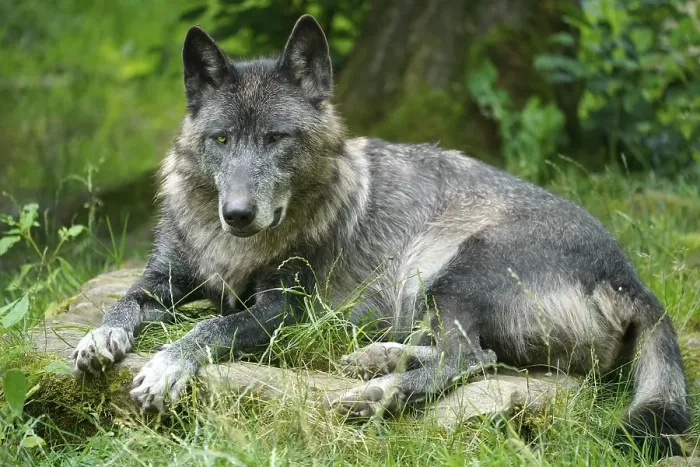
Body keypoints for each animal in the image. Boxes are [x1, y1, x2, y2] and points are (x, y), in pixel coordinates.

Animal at [71, 14, 689, 456]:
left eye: (275, 138)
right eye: (221, 139)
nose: (238, 214)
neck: (233, 247)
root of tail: (630, 277)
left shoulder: (281, 311)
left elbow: (211, 327)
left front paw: (164, 367)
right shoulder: (163, 279)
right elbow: (123, 303)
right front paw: (100, 338)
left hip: (450, 265)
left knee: (470, 357)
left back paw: (374, 395)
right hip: (426, 293)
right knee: (476, 354)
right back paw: (373, 359)